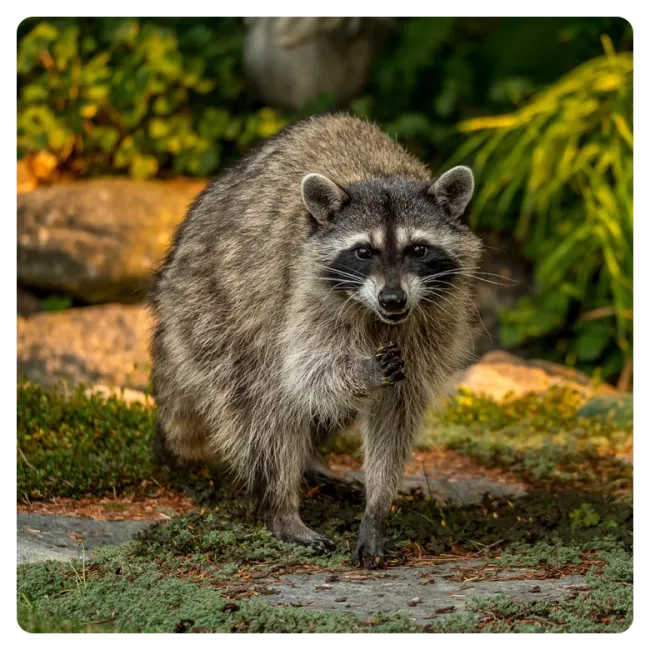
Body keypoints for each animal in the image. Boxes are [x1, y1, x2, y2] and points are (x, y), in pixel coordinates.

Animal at [149, 113, 483, 568]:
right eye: (363, 251)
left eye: (418, 249)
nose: (393, 299)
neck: (377, 174)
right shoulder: (304, 291)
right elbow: (308, 373)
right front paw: (363, 371)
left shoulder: (432, 318)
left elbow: (396, 408)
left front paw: (377, 507)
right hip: (215, 312)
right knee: (266, 401)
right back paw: (280, 505)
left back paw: (311, 462)